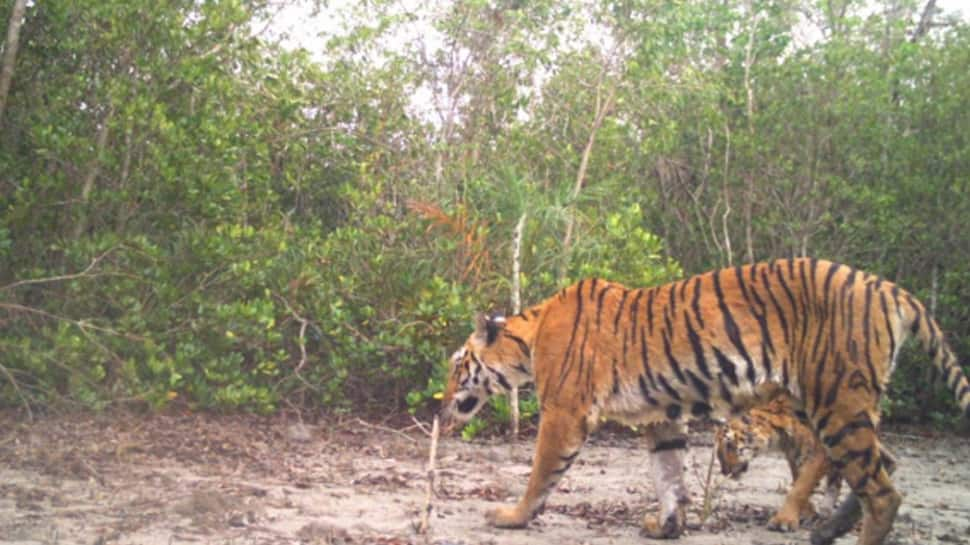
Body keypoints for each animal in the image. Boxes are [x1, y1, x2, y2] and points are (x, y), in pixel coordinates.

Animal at [712, 396, 840, 532]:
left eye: (729, 445)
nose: (724, 471)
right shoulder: (794, 456)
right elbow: (799, 481)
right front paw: (807, 513)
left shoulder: (819, 454)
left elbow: (800, 488)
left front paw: (784, 520)